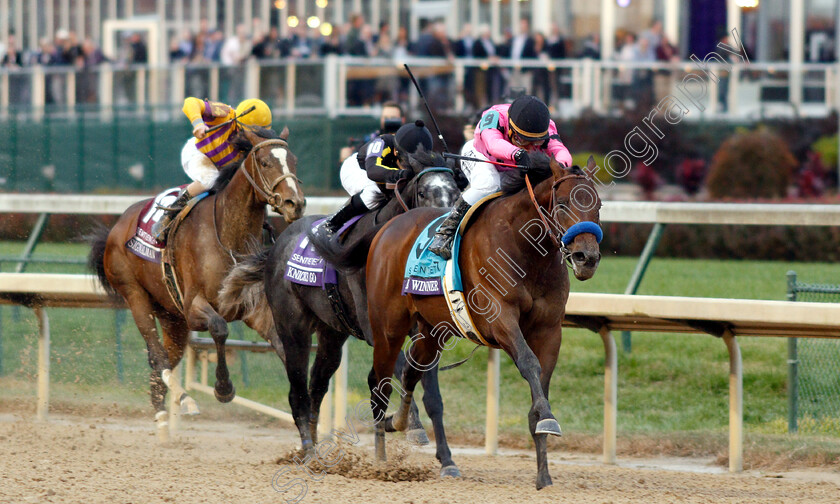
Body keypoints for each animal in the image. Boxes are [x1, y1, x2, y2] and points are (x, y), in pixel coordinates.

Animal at [88, 126, 306, 434]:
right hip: (136, 295)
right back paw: (183, 401)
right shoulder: (194, 307)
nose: (295, 204)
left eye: (294, 161)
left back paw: (162, 414)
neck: (228, 234)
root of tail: (116, 226)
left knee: (163, 361)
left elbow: (281, 343)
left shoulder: (249, 308)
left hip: (172, 318)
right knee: (157, 355)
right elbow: (220, 329)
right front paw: (223, 388)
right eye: (265, 163)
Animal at [218, 152, 466, 474]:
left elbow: (432, 394)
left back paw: (314, 450)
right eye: (424, 192)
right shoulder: (376, 330)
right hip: (293, 331)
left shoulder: (425, 330)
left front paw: (446, 459)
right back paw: (309, 453)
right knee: (297, 392)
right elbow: (395, 370)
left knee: (316, 388)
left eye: (456, 192)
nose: (441, 228)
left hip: (331, 336)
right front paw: (406, 424)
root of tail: (276, 246)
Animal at [364, 155, 600, 488]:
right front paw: (548, 419)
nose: (587, 258)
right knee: (379, 382)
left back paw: (401, 423)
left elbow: (539, 385)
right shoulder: (499, 319)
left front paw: (544, 473)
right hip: (388, 326)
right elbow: (529, 362)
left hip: (434, 331)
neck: (526, 250)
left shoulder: (550, 330)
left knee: (411, 371)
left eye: (599, 205)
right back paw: (380, 461)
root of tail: (389, 227)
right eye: (564, 203)